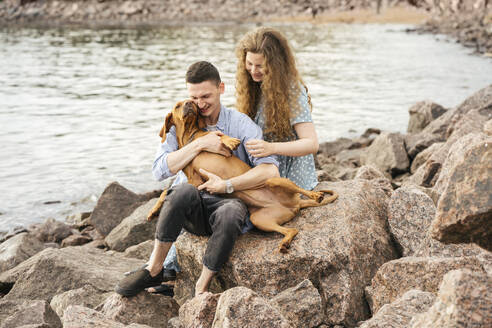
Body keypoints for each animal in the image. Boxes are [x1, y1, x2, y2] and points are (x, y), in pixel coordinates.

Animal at [147, 99, 338, 251]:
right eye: (178, 106)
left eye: (192, 102)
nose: (189, 104)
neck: (190, 137)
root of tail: (295, 204)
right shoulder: (195, 181)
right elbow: (166, 191)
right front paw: (154, 210)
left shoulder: (210, 139)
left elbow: (219, 135)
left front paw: (230, 141)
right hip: (260, 219)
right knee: (292, 229)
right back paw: (285, 243)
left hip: (273, 180)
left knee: (301, 190)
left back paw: (316, 195)